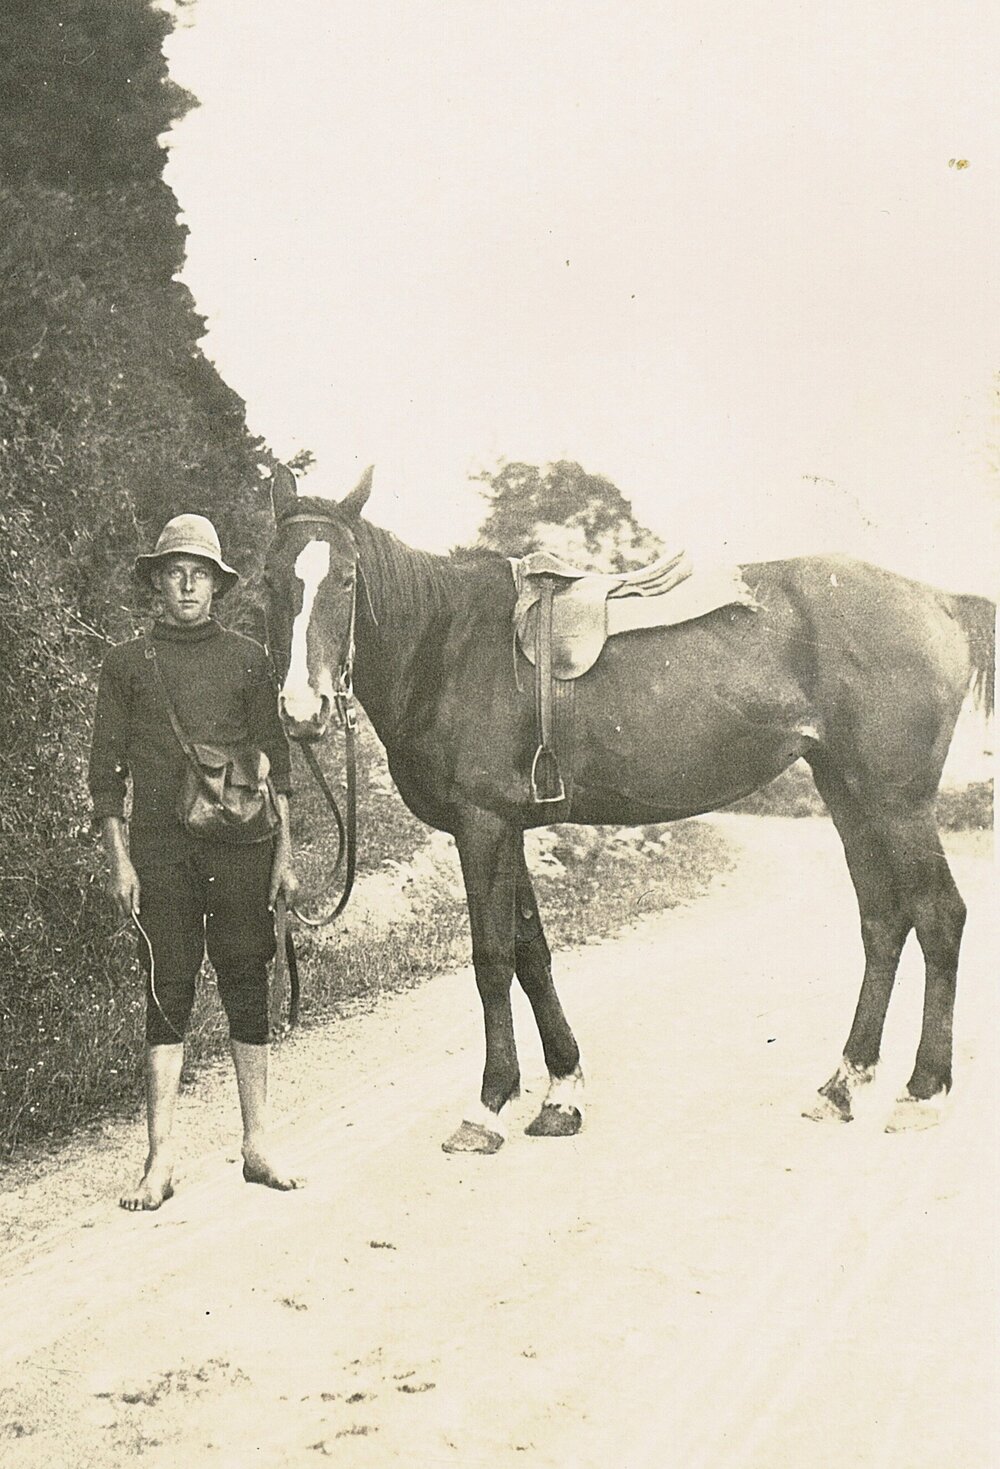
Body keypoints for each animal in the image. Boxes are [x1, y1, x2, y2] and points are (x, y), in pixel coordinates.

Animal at [264, 465, 995, 1152]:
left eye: (346, 580)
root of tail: (942, 602)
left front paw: (488, 1107)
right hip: (850, 794)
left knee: (939, 917)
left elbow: (493, 958)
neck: (449, 645)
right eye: (272, 580)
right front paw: (561, 1095)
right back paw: (842, 1084)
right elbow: (533, 954)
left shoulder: (482, 826)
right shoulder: (509, 827)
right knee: (883, 922)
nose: (302, 710)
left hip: (897, 803)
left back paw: (922, 1091)